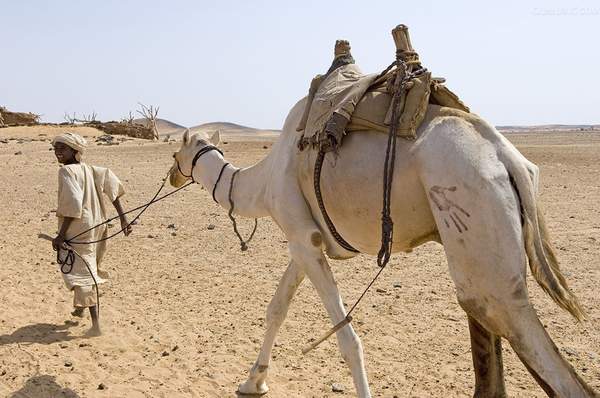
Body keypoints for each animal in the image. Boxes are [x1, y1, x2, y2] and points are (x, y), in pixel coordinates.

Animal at [168, 102, 596, 394]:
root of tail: (508, 158)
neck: (263, 181)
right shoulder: (303, 240)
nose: (172, 174)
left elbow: (345, 337)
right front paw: (252, 382)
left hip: (478, 221)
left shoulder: (303, 238)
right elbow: (277, 309)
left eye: (175, 151)